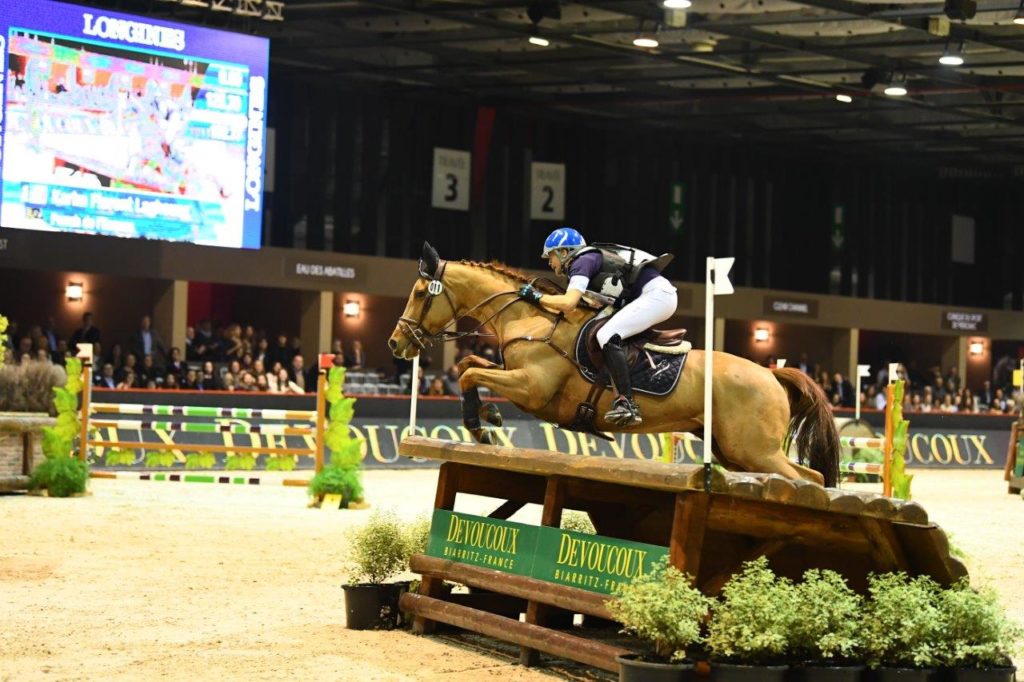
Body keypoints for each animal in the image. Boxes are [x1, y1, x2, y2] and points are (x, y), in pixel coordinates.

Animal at [387, 241, 835, 485]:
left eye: (418, 293)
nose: (395, 344)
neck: (530, 318)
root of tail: (770, 375)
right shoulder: (516, 377)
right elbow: (469, 366)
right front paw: (489, 417)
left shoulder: (532, 389)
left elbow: (471, 373)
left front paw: (480, 427)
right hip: (733, 451)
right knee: (806, 478)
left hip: (753, 449)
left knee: (806, 479)